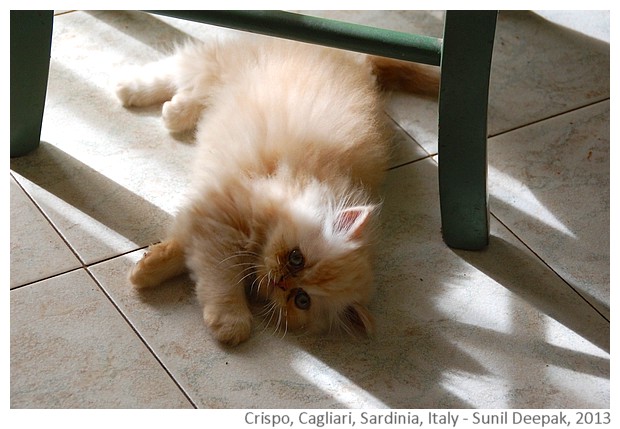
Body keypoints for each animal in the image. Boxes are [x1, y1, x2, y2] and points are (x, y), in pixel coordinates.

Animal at [115, 32, 436, 344]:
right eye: (296, 258)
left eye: (301, 299)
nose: (281, 281)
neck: (301, 184)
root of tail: (357, 57)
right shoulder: (222, 223)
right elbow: (221, 279)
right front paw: (232, 324)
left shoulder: (205, 220)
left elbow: (183, 250)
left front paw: (144, 270)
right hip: (227, 64)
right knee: (179, 65)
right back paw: (129, 90)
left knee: (196, 87)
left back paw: (174, 110)